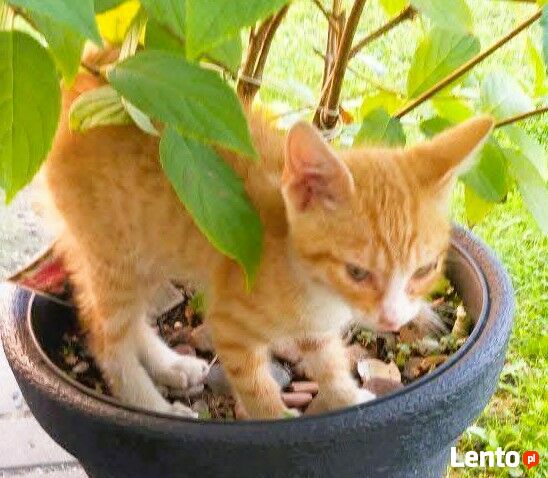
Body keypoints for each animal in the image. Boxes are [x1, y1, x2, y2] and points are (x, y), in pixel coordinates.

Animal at [43, 62, 494, 419]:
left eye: (424, 270)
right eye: (356, 272)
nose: (393, 320)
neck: (312, 283)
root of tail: (87, 82)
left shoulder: (317, 326)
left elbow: (328, 361)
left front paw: (347, 398)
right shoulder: (229, 321)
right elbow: (257, 389)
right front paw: (278, 417)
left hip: (150, 247)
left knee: (131, 317)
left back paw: (171, 364)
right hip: (115, 252)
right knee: (106, 336)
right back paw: (151, 403)